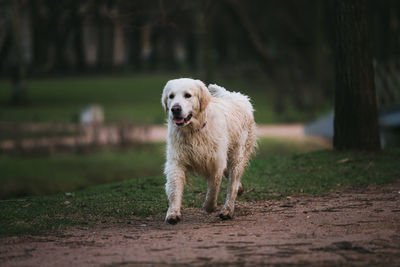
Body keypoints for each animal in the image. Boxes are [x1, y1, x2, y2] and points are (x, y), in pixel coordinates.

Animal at [162, 78, 256, 225]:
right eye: (171, 96)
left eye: (188, 95)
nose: (175, 109)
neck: (194, 132)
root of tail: (235, 96)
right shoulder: (176, 161)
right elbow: (174, 188)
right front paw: (173, 213)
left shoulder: (216, 162)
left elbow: (213, 189)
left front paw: (209, 206)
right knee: (230, 176)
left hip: (237, 156)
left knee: (233, 185)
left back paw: (227, 210)